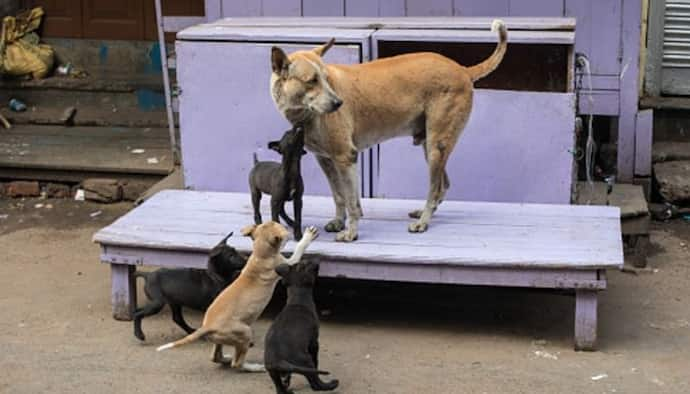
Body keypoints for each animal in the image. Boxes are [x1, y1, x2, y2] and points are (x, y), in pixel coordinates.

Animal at [156, 222, 318, 372]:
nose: (288, 232)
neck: (259, 254)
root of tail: (208, 326)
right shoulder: (287, 264)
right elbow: (299, 249)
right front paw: (307, 236)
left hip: (220, 339)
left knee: (215, 357)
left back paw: (227, 358)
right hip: (245, 332)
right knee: (237, 364)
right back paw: (254, 367)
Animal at [264, 258, 338, 394]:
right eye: (305, 262)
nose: (314, 258)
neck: (298, 298)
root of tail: (278, 360)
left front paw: (287, 381)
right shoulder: (314, 342)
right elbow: (316, 360)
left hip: (273, 373)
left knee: (279, 388)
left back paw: (287, 390)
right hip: (306, 361)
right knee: (315, 383)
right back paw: (330, 385)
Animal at [268, 21, 506, 243]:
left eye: (326, 79)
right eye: (311, 81)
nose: (338, 103)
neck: (306, 113)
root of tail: (462, 69)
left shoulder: (346, 157)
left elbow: (351, 201)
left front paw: (351, 233)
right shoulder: (325, 160)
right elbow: (339, 196)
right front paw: (338, 221)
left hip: (437, 146)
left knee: (435, 188)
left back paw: (423, 222)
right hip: (431, 147)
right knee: (443, 185)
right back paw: (423, 214)